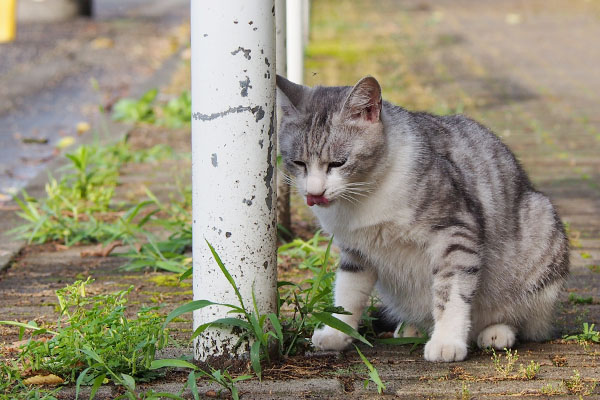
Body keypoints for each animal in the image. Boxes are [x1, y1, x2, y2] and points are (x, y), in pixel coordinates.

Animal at [276, 73, 568, 360]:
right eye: (299, 163)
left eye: (338, 163)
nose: (315, 193)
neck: (362, 197)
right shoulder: (355, 250)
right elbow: (348, 292)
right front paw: (335, 333)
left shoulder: (455, 233)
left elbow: (450, 292)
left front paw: (446, 342)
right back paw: (411, 328)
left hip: (540, 227)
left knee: (523, 319)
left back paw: (497, 332)